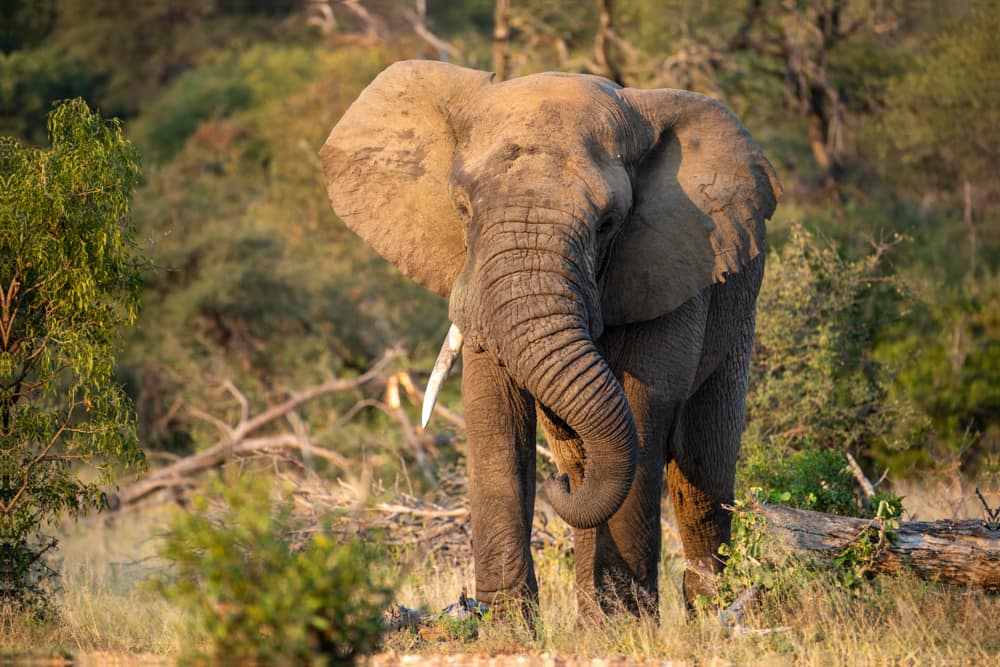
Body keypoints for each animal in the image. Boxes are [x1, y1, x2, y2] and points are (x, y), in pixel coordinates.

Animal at [320, 60, 781, 619]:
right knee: (591, 463)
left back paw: (714, 612)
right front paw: (505, 623)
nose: (553, 488)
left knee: (701, 472)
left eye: (608, 223)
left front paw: (622, 625)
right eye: (462, 209)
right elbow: (494, 412)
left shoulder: (672, 261)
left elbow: (642, 407)